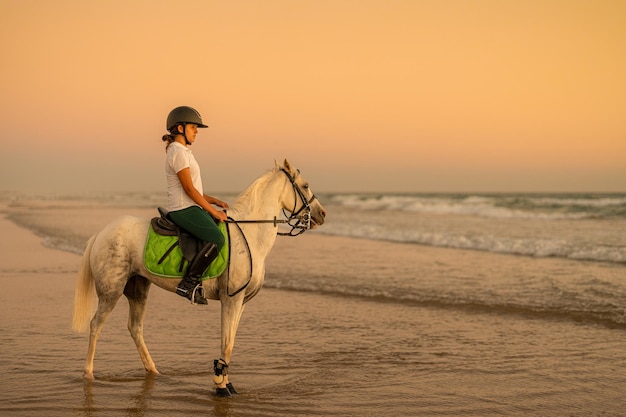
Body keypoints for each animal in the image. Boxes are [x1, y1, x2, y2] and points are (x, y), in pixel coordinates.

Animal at [72, 159, 326, 396]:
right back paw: (89, 374)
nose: (322, 214)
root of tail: (101, 233)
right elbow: (227, 343)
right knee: (96, 325)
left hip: (138, 289)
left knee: (135, 328)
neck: (250, 233)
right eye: (305, 185)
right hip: (111, 290)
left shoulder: (241, 302)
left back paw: (154, 371)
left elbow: (231, 341)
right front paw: (221, 385)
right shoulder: (231, 299)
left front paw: (226, 383)